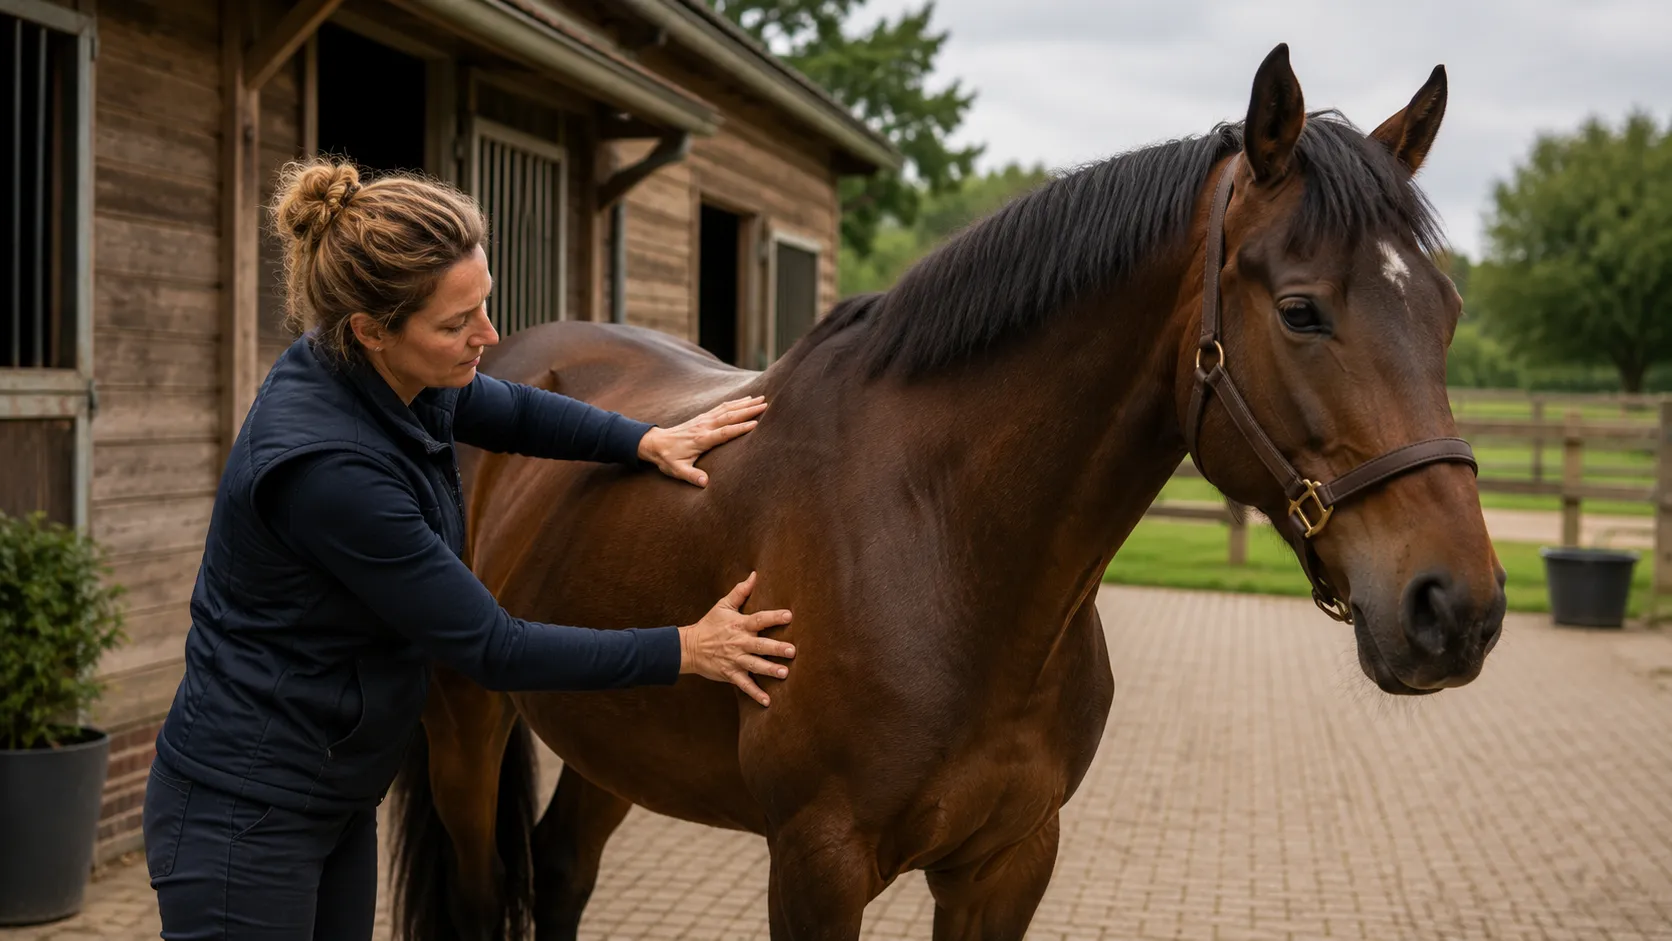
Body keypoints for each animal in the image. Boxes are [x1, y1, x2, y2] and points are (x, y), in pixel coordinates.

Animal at [391, 44, 1506, 941]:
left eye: (1451, 309)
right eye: (1301, 310)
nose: (1457, 607)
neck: (947, 547)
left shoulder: (1007, 863)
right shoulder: (817, 866)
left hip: (612, 738)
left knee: (563, 870)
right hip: (464, 721)